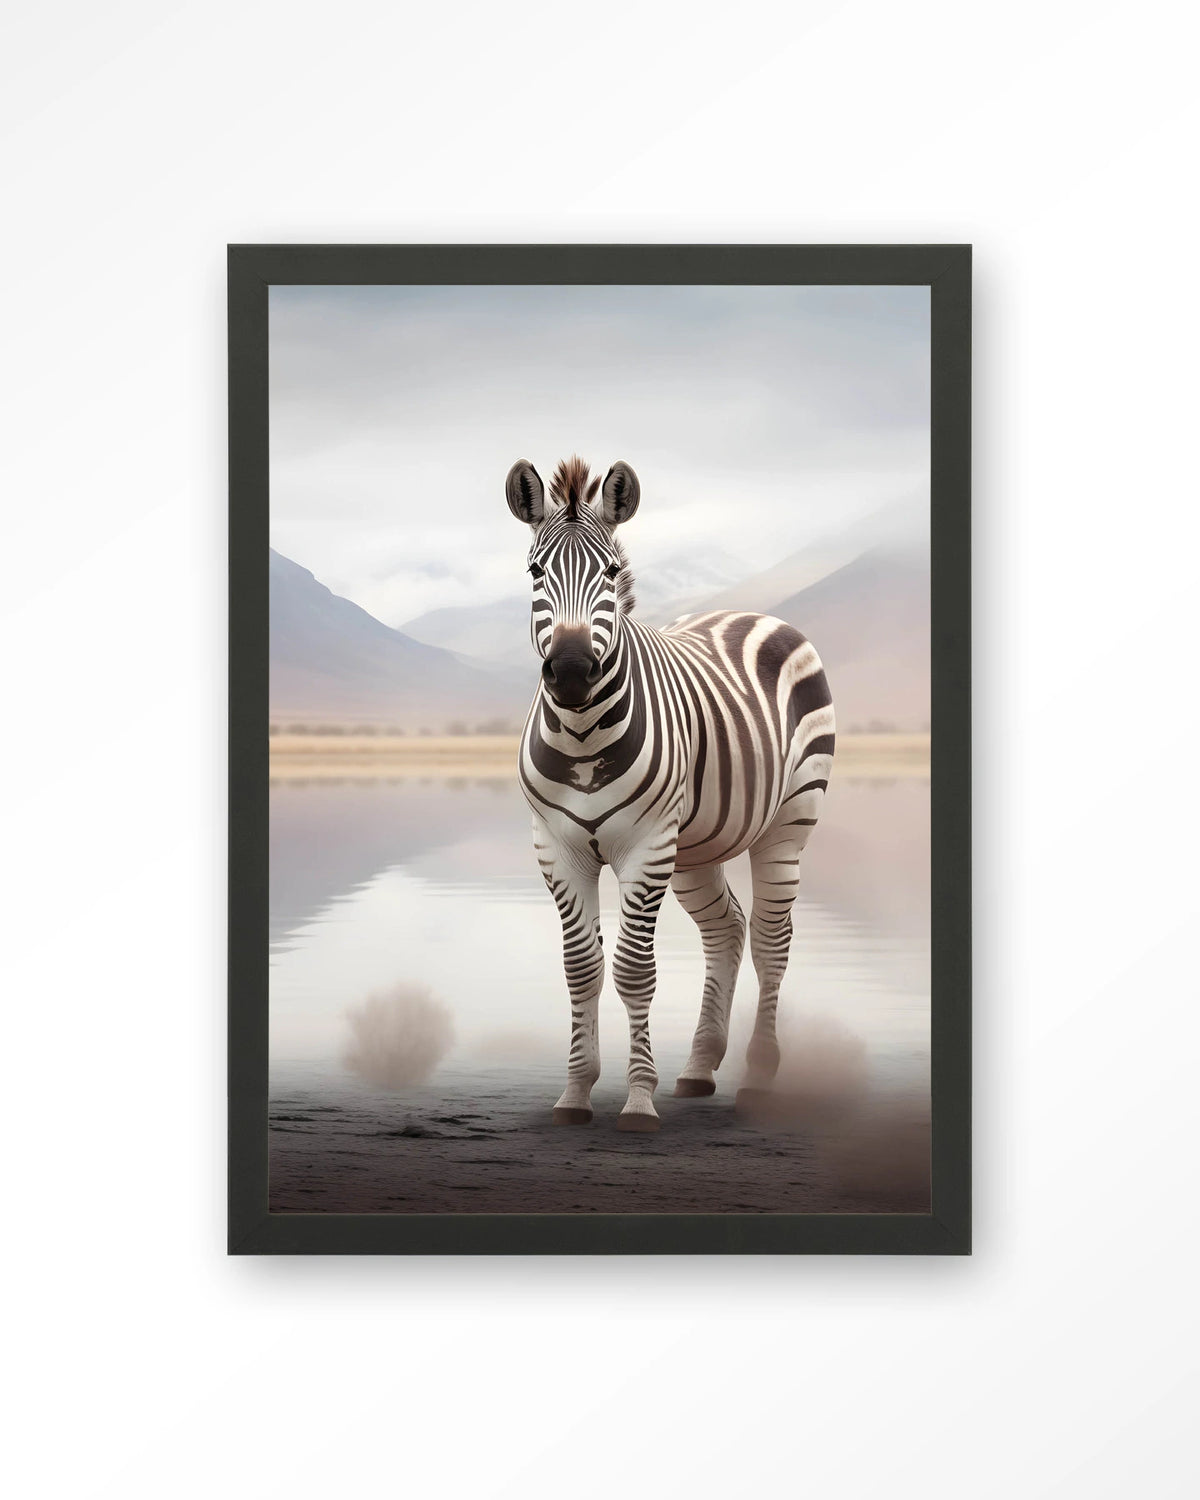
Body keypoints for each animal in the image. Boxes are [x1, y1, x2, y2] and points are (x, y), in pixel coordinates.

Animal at [507, 455, 835, 1132]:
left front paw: (637, 1100)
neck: (582, 734)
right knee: (727, 929)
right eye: (534, 572)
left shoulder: (645, 845)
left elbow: (634, 970)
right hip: (695, 849)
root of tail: (752, 612)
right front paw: (575, 1093)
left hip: (788, 822)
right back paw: (700, 1068)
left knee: (771, 939)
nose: (571, 671)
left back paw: (757, 1078)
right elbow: (581, 969)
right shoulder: (557, 848)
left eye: (610, 572)